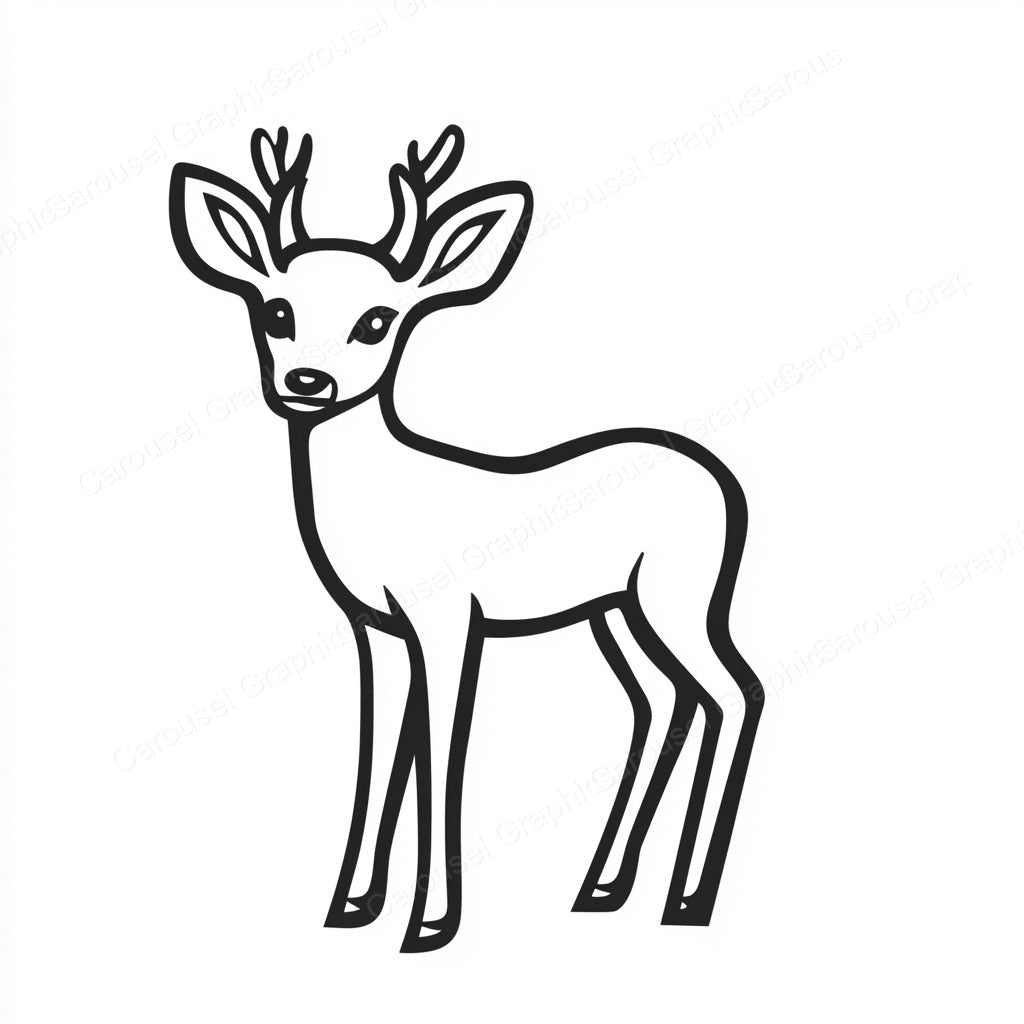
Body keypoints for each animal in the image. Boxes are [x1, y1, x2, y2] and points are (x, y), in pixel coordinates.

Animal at [168, 125, 764, 953]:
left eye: (378, 320)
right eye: (276, 310)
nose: (308, 382)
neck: (387, 498)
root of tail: (720, 482)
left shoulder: (451, 617)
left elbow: (442, 749)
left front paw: (429, 924)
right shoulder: (377, 629)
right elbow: (381, 748)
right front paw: (351, 906)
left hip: (681, 595)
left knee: (736, 692)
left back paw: (688, 899)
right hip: (615, 610)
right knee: (662, 702)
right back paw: (602, 888)